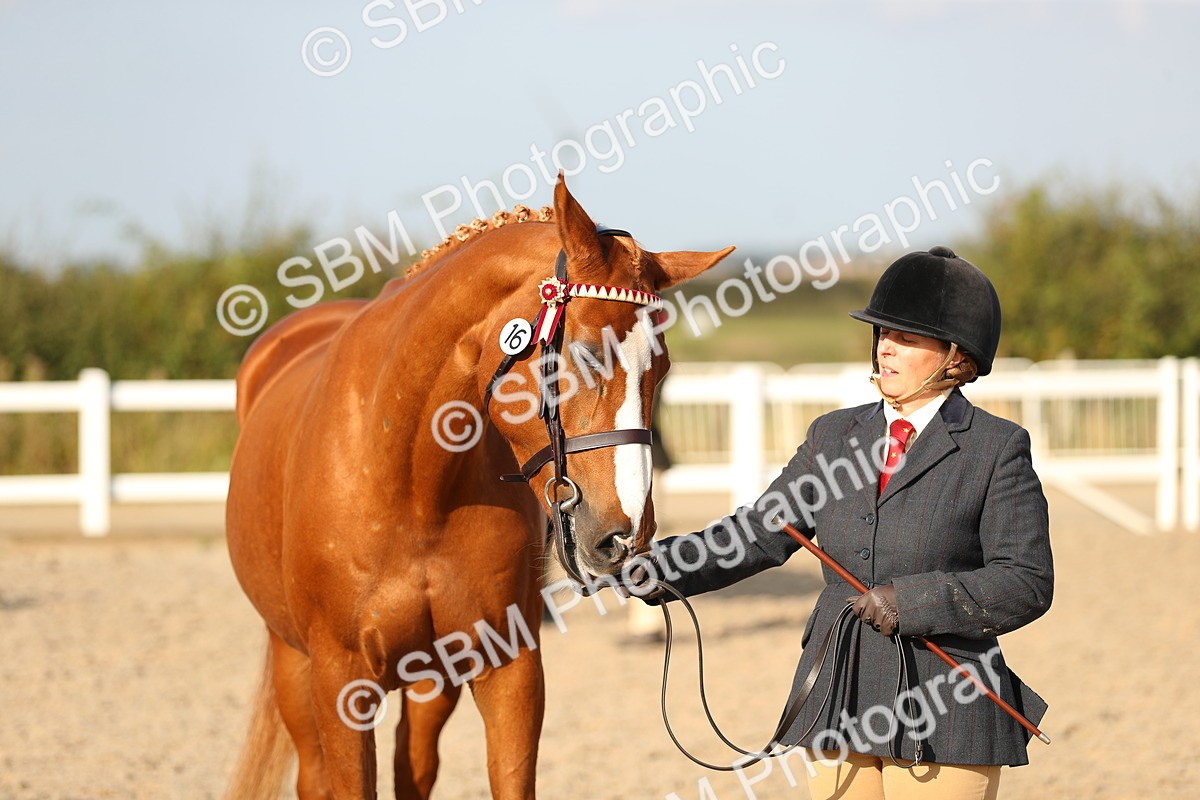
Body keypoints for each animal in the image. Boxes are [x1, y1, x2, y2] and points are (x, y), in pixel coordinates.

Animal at [223, 176, 733, 799]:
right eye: (585, 353)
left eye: (660, 370)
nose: (625, 536)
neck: (413, 486)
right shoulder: (341, 685)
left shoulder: (508, 669)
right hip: (292, 663)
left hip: (429, 679)